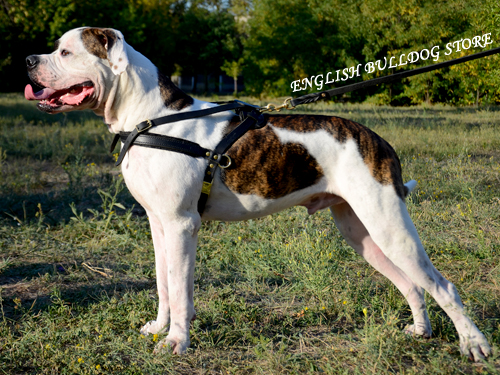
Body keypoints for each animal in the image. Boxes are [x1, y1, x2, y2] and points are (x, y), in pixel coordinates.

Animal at [25, 27, 490, 362]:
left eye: (66, 52)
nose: (28, 60)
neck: (150, 117)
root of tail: (378, 139)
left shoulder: (181, 226)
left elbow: (181, 289)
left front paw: (176, 343)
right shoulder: (160, 225)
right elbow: (164, 284)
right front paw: (160, 328)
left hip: (389, 224)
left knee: (443, 285)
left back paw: (474, 346)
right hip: (363, 232)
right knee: (412, 284)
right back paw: (421, 331)